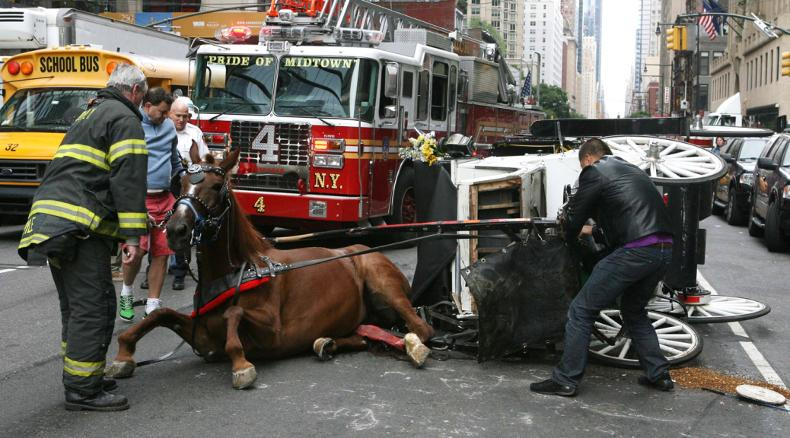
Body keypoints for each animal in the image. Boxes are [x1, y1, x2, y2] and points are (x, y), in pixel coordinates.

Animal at [104, 149, 434, 388]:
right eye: (181, 184)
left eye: (216, 186)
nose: (176, 230)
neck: (241, 270)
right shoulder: (204, 340)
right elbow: (161, 314)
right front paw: (123, 353)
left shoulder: (274, 334)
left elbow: (234, 313)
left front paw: (241, 365)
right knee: (363, 335)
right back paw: (326, 342)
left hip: (385, 286)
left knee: (421, 329)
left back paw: (413, 346)